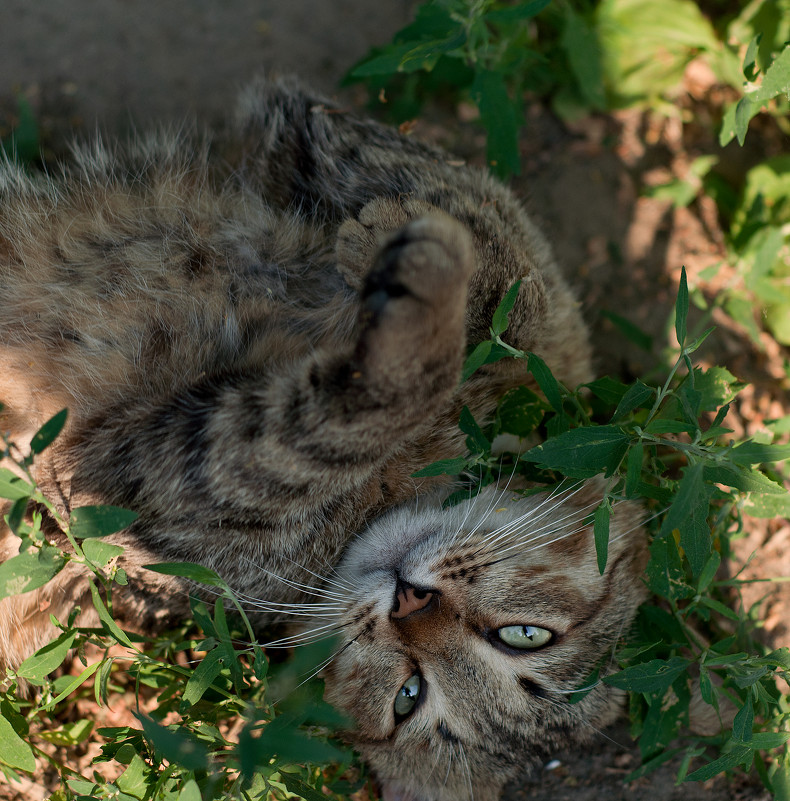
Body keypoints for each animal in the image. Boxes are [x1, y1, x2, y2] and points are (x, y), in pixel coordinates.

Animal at [0, 76, 648, 800]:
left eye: (408, 697)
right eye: (527, 635)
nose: (411, 600)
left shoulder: (137, 480)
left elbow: (325, 425)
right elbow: (505, 263)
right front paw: (440, 263)